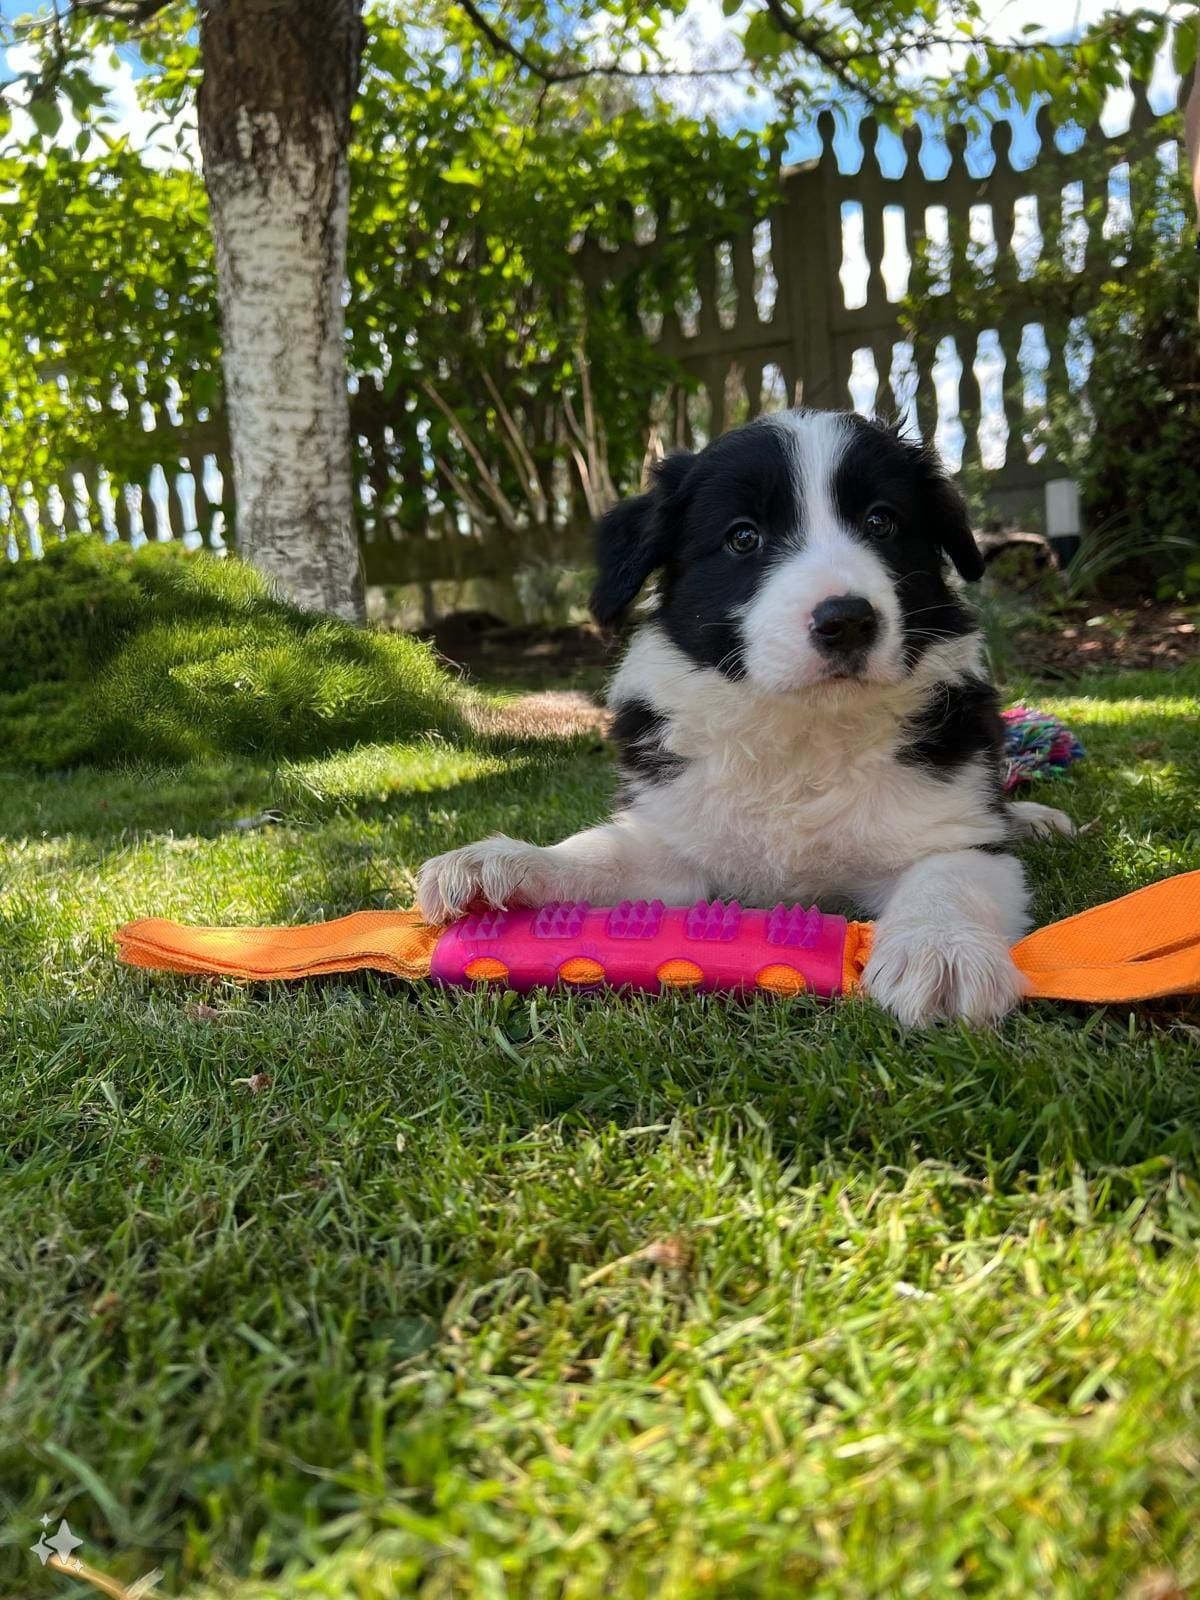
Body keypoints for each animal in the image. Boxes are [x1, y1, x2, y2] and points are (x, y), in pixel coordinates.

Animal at [419, 412, 1068, 1024]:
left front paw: (942, 950)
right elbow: (603, 853)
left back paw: (1033, 819)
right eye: (743, 537)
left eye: (881, 522)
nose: (847, 620)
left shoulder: (952, 830)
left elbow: (948, 876)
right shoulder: (678, 839)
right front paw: (509, 865)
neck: (801, 727)